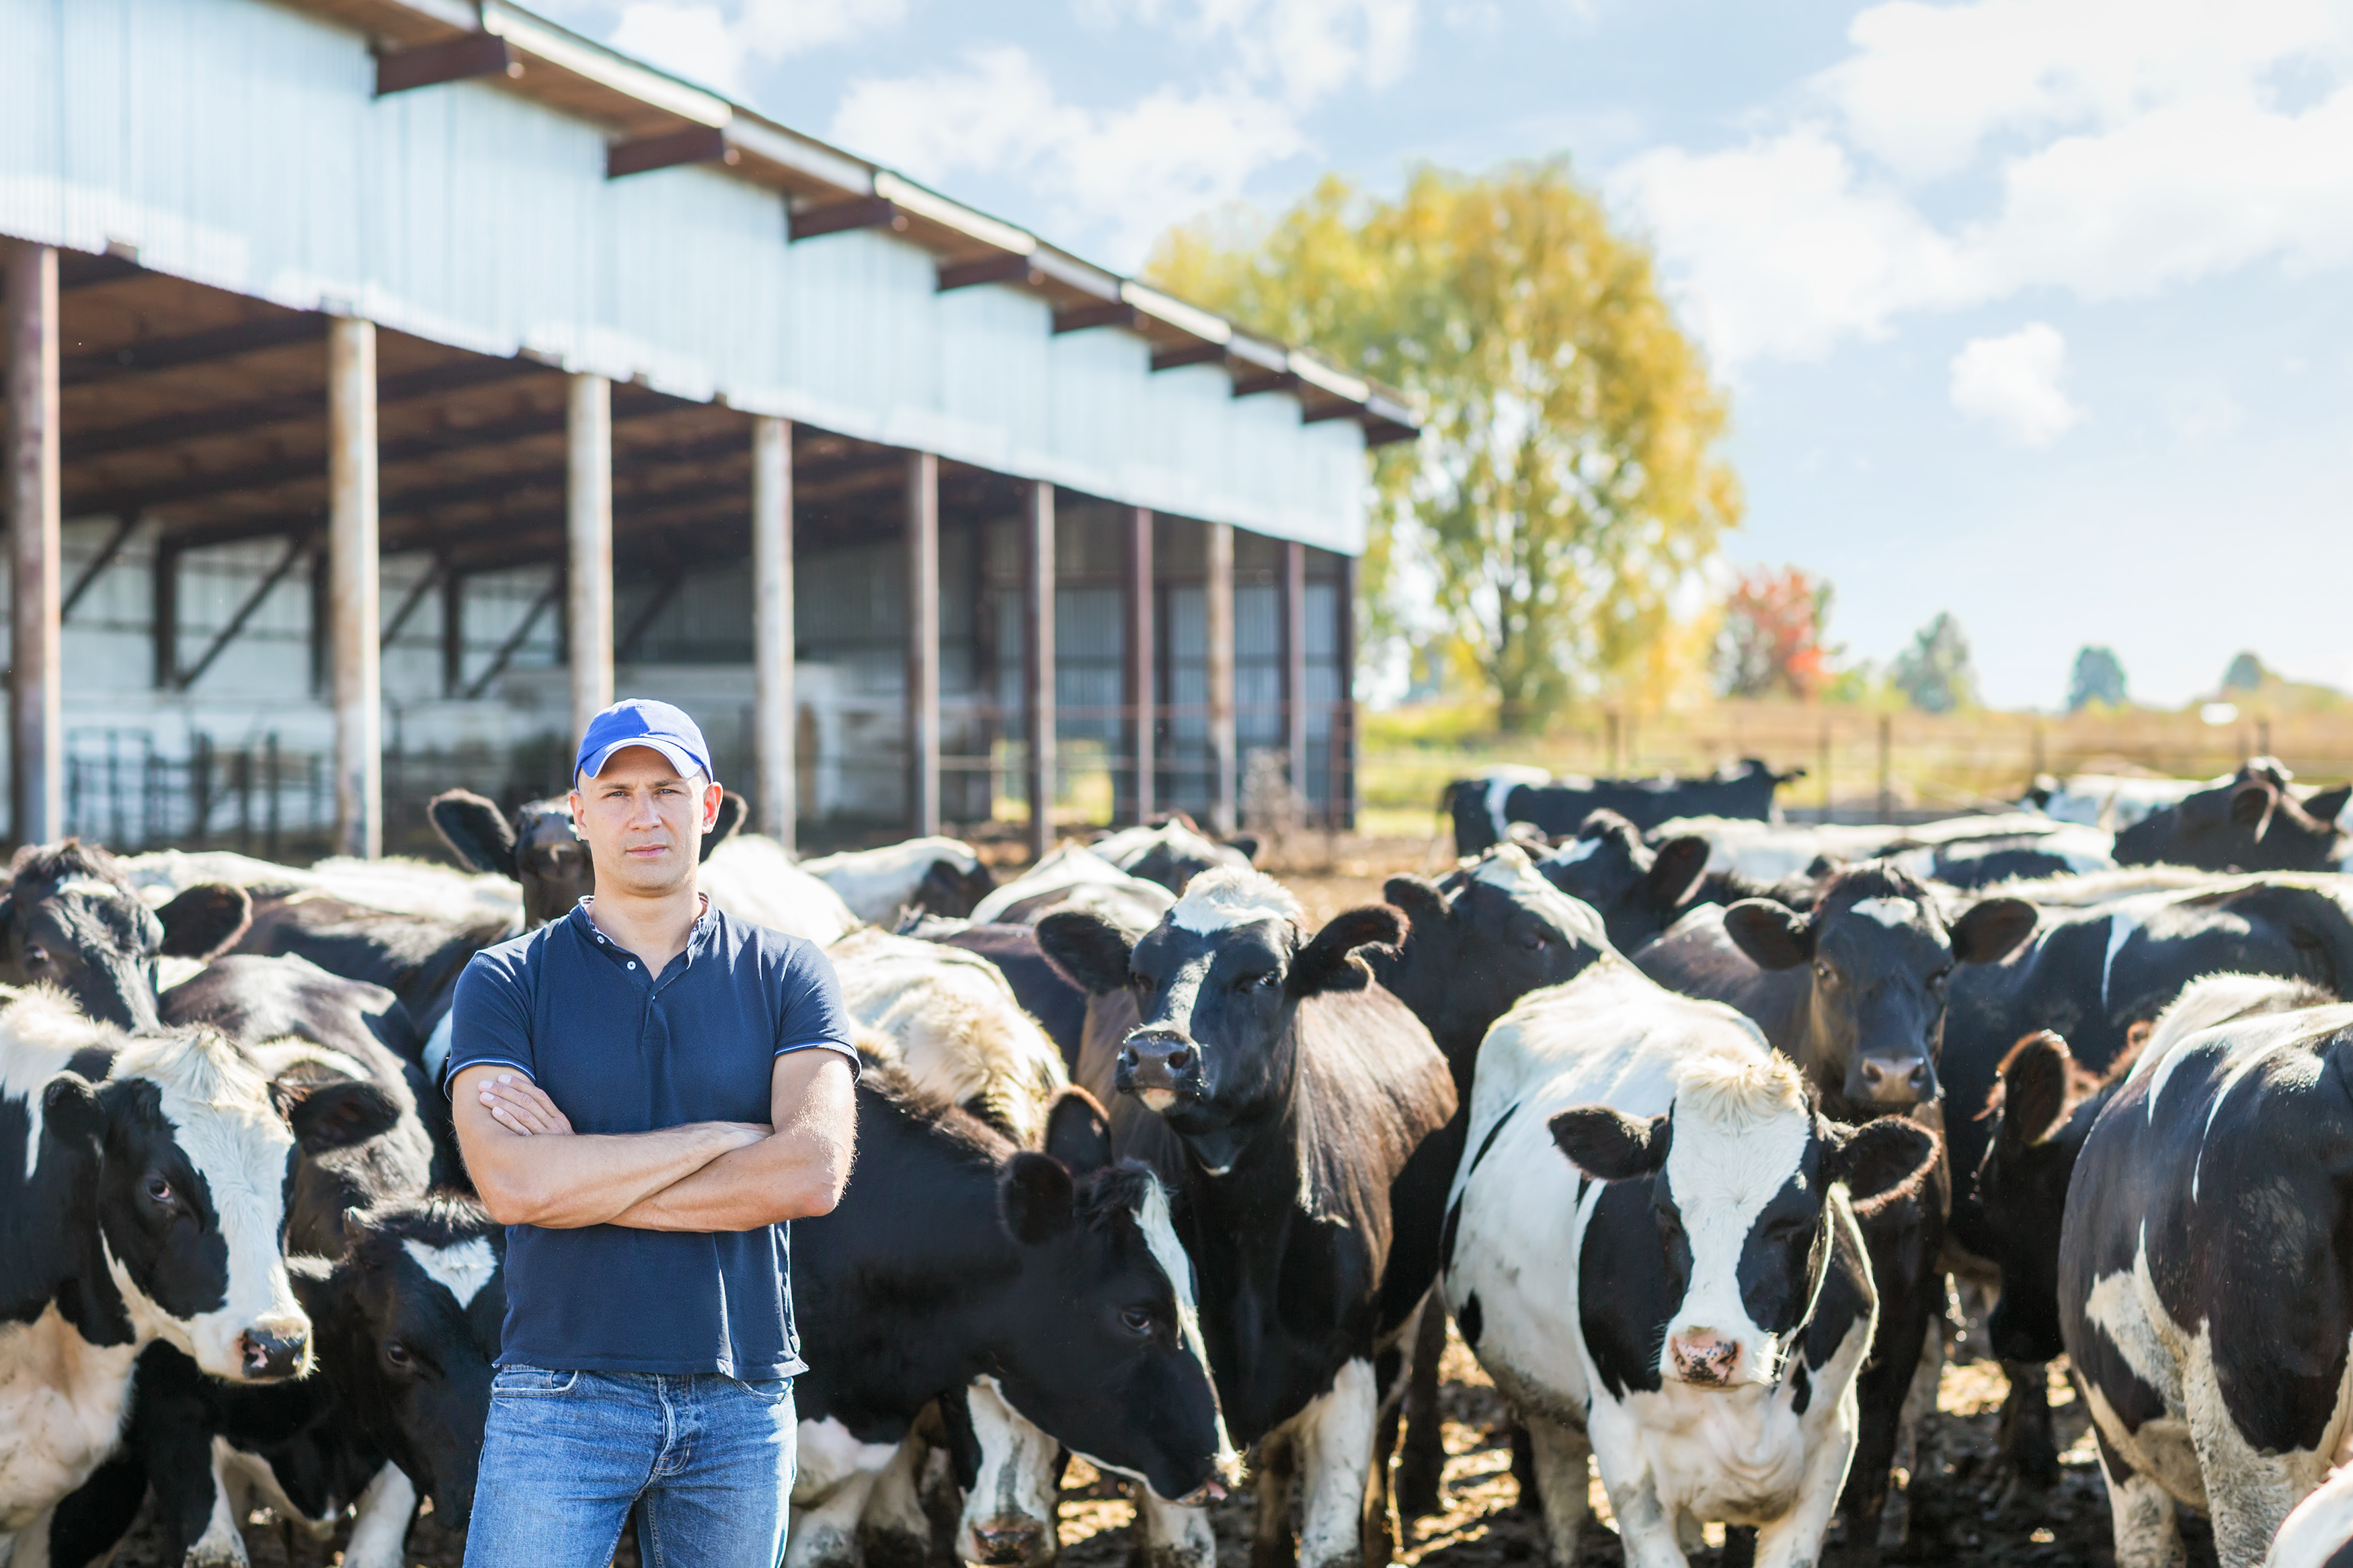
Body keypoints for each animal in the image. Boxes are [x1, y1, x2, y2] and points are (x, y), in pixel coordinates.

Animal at [1045, 870, 1459, 1568]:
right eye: (1140, 972)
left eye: (1263, 976)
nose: (1156, 1052)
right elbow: (1183, 1542)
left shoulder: (1348, 1368)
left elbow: (1333, 1541)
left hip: (1402, 1325)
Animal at [1440, 959, 1939, 1568]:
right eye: (1662, 1207)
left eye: (1795, 1217)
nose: (1705, 1352)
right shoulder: (1623, 1450)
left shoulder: (1831, 1444)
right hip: (1540, 1401)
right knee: (1562, 1499)